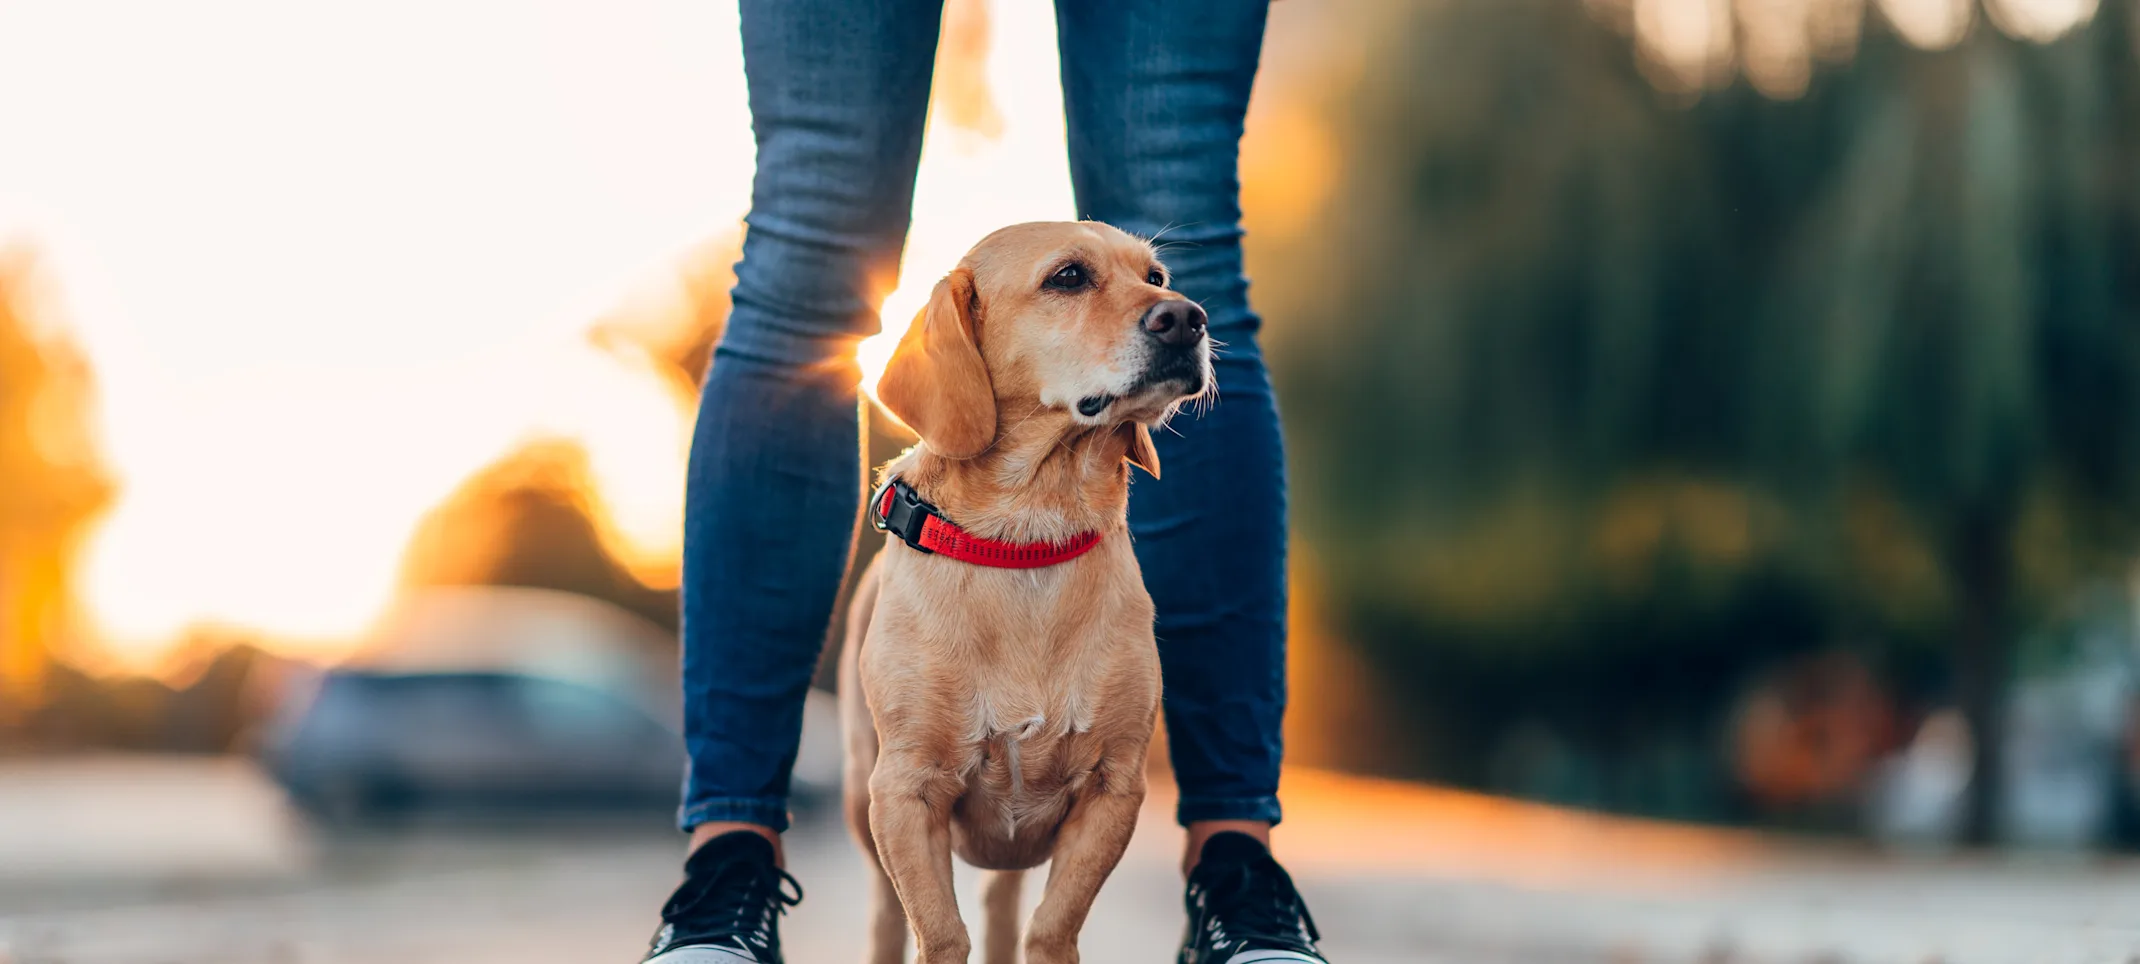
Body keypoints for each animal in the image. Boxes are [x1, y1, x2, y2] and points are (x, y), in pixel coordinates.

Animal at [834, 220, 1206, 964]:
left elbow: (1051, 926)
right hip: (864, 807)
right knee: (888, 919)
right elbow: (941, 933)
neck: (1029, 535)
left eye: (1155, 277)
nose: (1187, 318)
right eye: (1068, 277)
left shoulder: (1113, 788)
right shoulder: (904, 795)